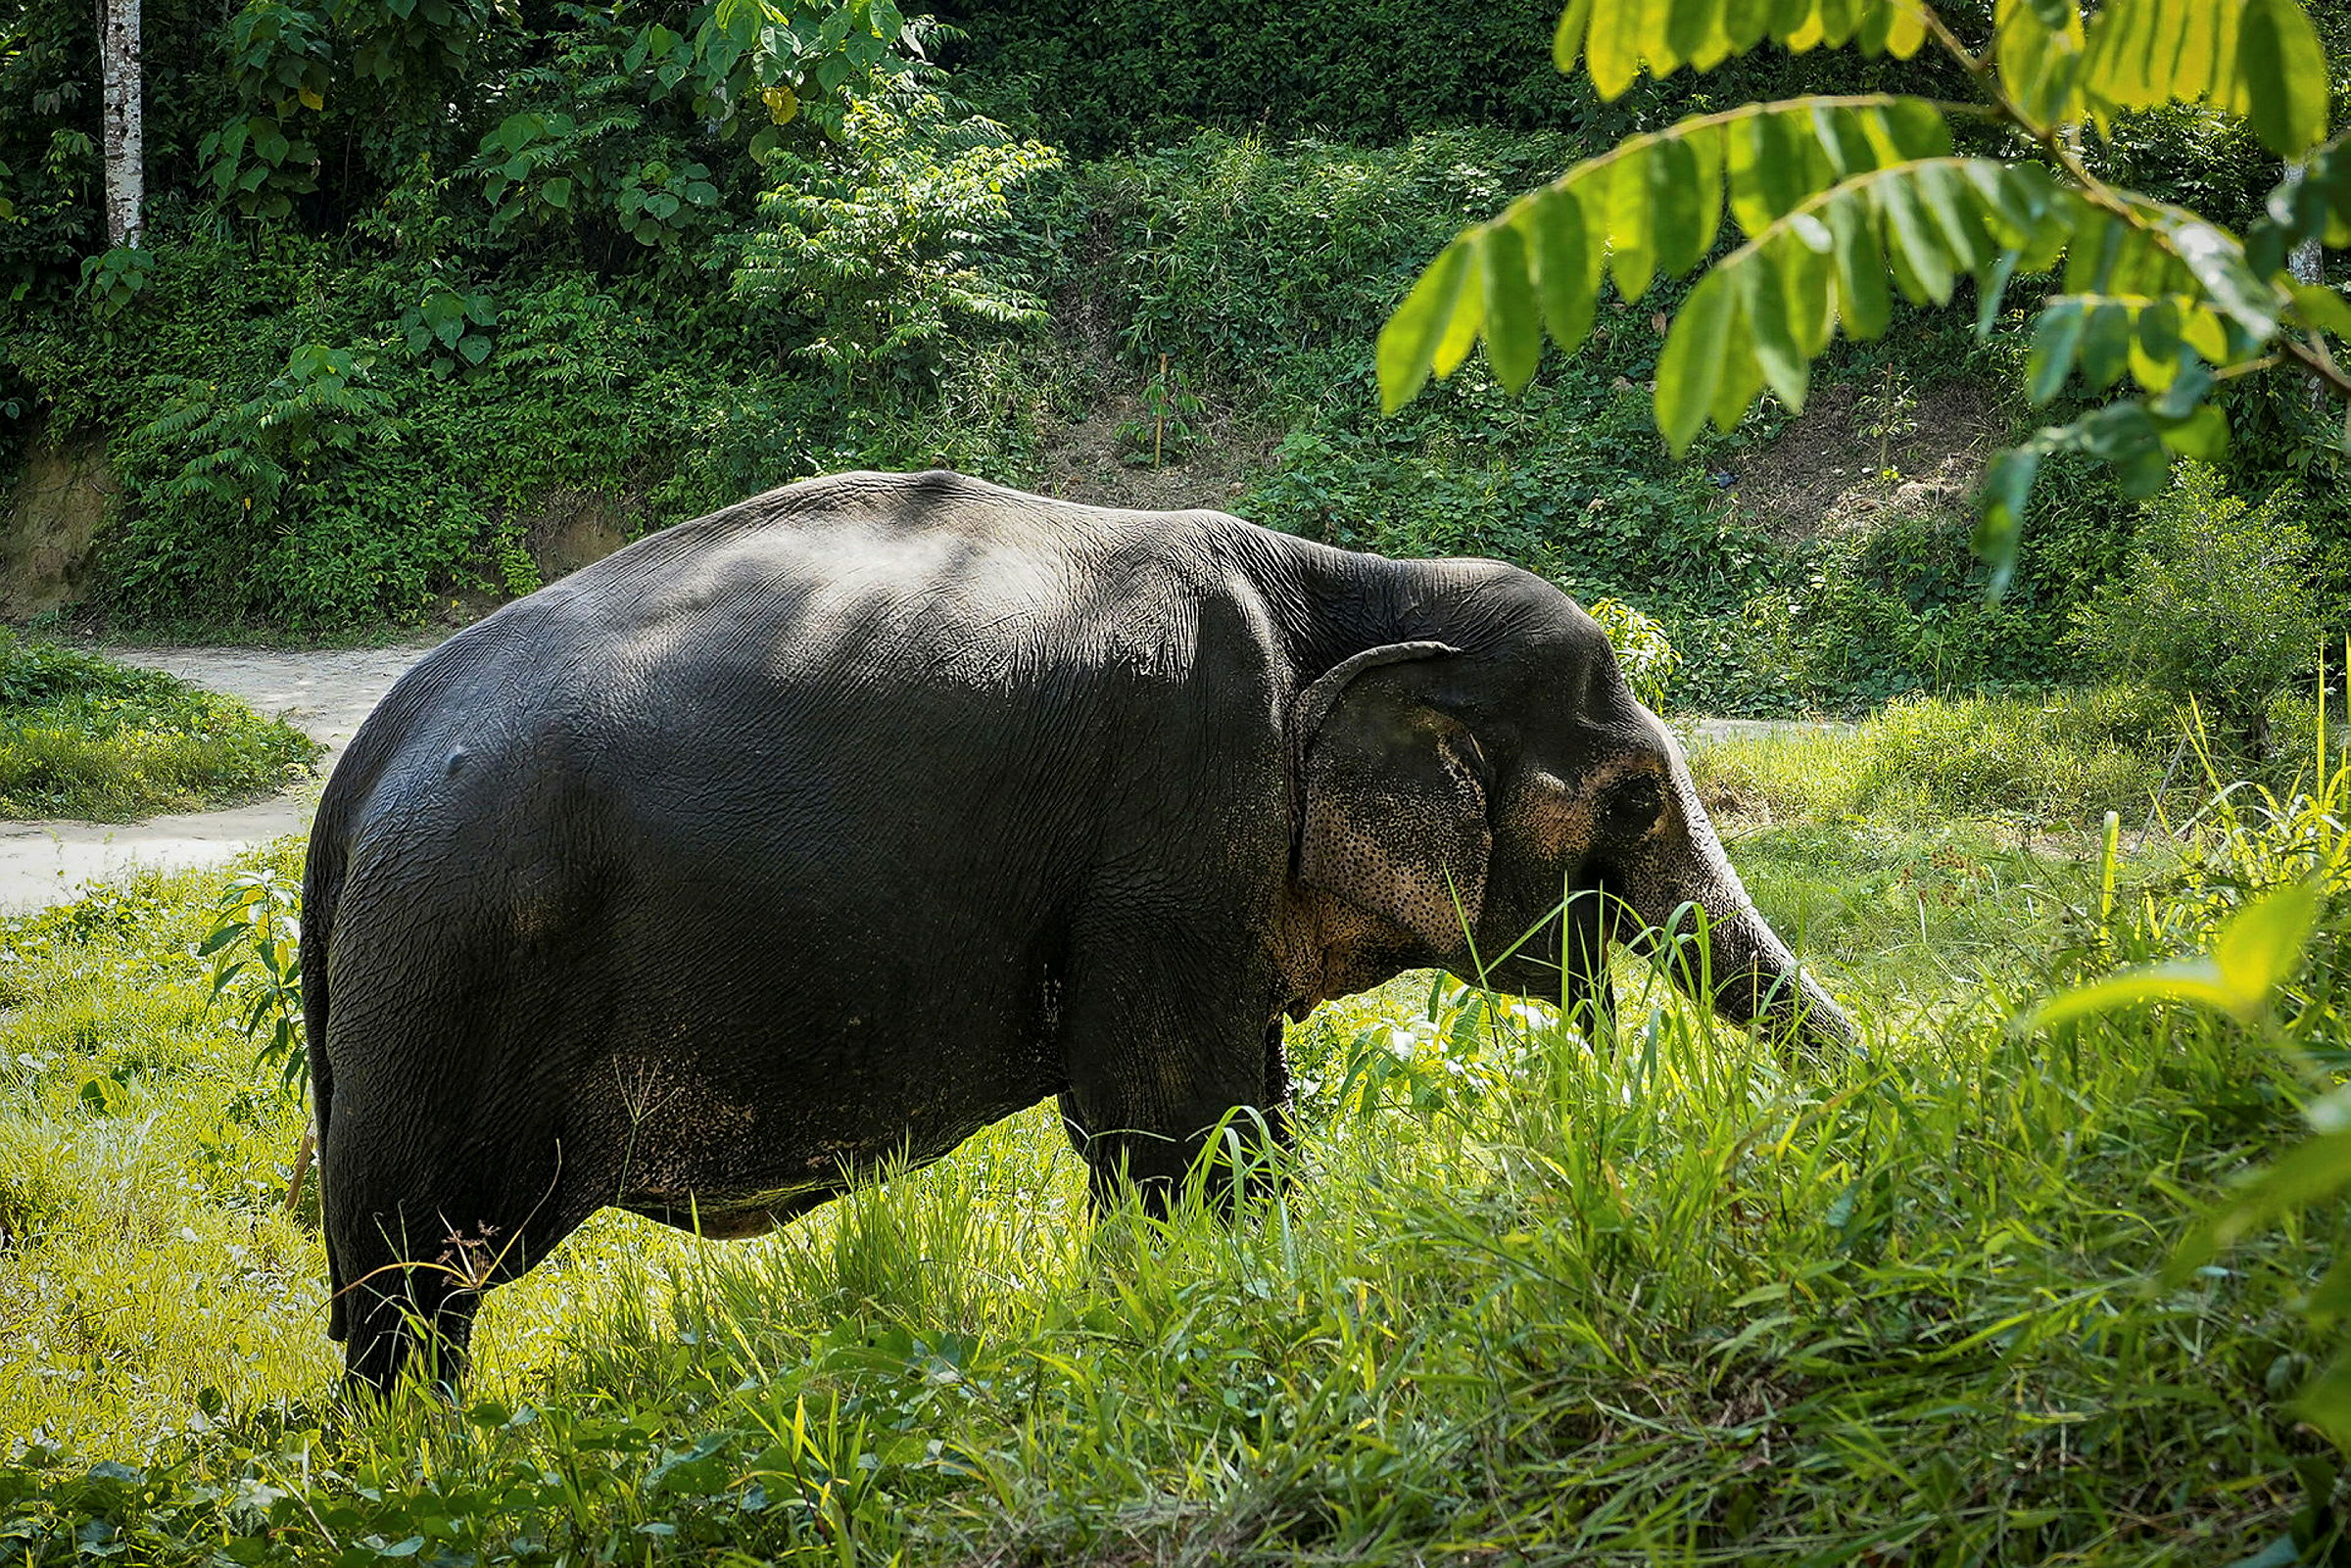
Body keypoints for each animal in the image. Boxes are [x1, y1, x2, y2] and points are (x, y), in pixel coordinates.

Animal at [304, 468, 1850, 1391]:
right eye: (1638, 798)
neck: (1343, 581)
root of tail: (359, 770)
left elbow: (1244, 1115)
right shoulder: (1173, 822)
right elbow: (1174, 1126)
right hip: (450, 966)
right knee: (413, 1272)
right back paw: (424, 1450)